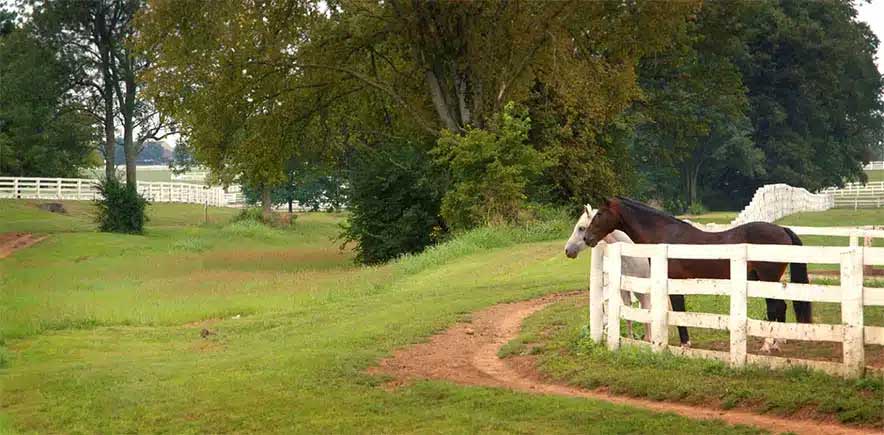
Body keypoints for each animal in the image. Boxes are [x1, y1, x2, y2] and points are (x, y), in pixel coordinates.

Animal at [565, 205, 653, 341]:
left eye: (581, 228)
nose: (567, 250)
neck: (632, 255)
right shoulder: (625, 292)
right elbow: (628, 313)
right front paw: (631, 339)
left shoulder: (644, 294)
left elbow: (646, 317)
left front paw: (649, 340)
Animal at [582, 196, 812, 353]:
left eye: (599, 214)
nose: (587, 238)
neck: (665, 237)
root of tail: (782, 230)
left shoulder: (674, 283)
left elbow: (679, 311)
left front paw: (685, 344)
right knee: (779, 308)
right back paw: (777, 342)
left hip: (767, 278)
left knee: (776, 308)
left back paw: (768, 345)